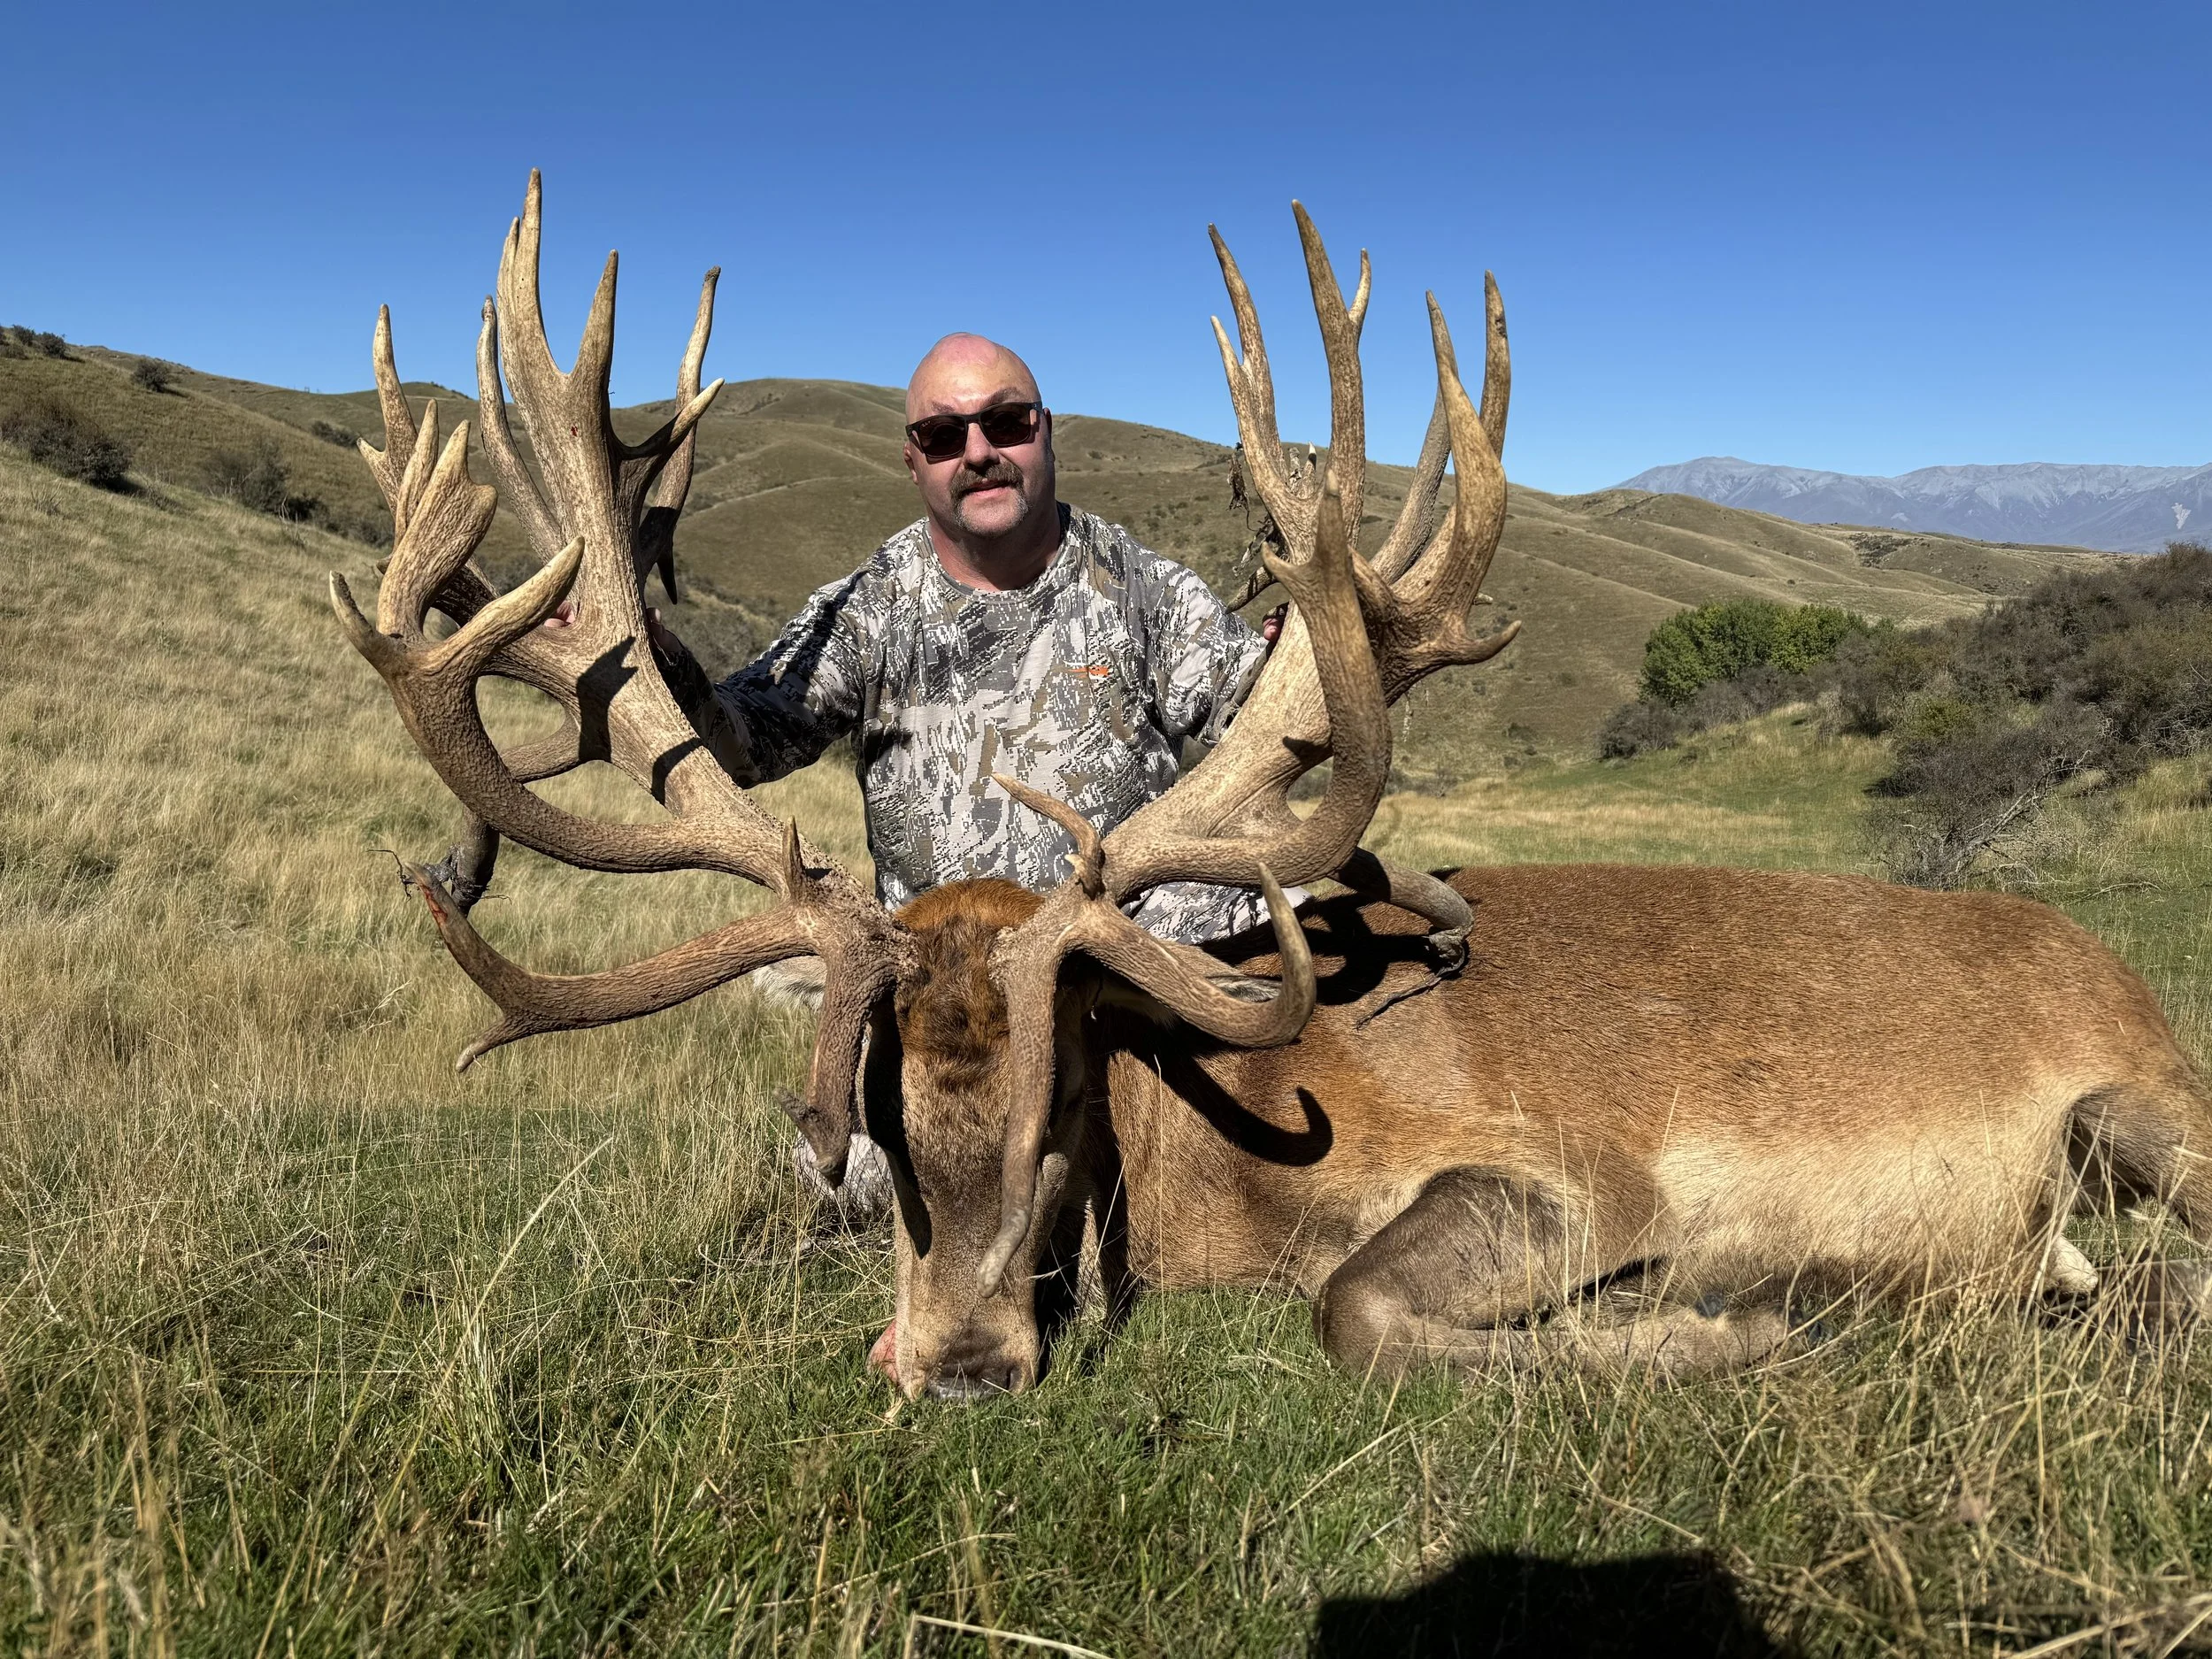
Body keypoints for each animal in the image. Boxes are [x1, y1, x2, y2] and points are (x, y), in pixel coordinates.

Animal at [332, 174, 2212, 1402]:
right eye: (872, 1112)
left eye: (1060, 1102)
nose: (960, 1364)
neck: (1216, 1168)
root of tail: (2126, 978)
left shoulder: (1583, 1170)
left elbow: (1359, 1313)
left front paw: (1733, 1319)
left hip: (2141, 1111)